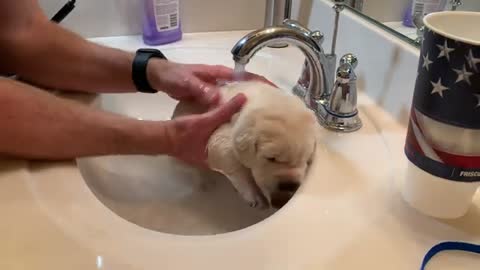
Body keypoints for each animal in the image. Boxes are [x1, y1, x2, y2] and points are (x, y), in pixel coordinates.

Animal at [171, 80, 316, 209]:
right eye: (271, 158)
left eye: (305, 160)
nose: (289, 186)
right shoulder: (221, 133)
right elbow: (230, 158)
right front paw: (254, 194)